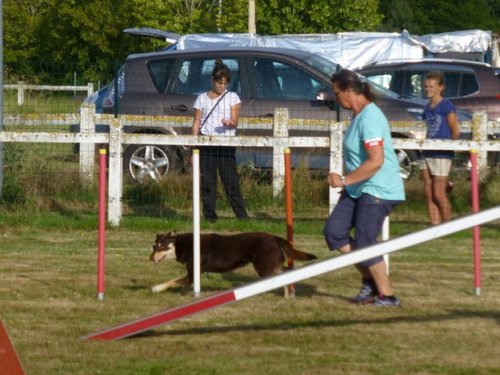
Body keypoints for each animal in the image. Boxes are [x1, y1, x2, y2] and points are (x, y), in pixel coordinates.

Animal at [148, 232, 316, 296]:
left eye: (161, 247)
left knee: (285, 274)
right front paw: (184, 293)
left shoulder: (193, 273)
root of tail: (275, 237)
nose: (150, 258)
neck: (182, 244)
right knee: (287, 271)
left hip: (264, 268)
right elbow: (184, 283)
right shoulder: (193, 273)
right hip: (270, 266)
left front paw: (157, 288)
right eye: (153, 246)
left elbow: (172, 281)